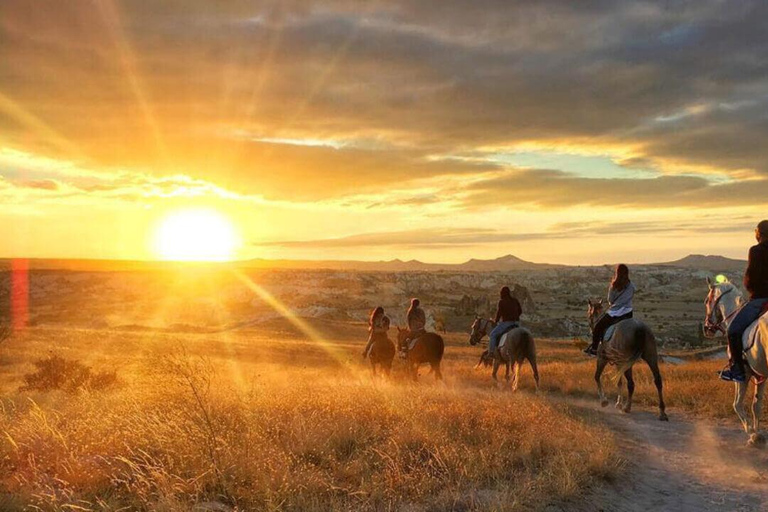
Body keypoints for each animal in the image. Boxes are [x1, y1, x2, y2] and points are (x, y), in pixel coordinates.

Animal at [704, 276, 764, 444]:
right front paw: (757, 433)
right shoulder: (759, 375)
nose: (706, 328)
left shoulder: (743, 373)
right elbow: (756, 405)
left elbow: (737, 404)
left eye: (706, 301)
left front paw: (751, 432)